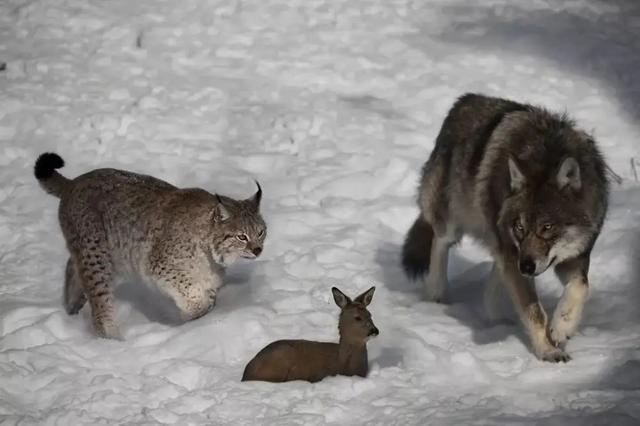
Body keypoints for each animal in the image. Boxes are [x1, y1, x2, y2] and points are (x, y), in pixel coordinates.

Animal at [34, 153, 264, 340]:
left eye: (261, 232)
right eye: (242, 236)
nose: (258, 250)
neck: (210, 251)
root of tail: (75, 182)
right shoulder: (158, 265)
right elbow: (191, 291)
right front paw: (192, 314)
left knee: (71, 265)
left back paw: (72, 306)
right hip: (96, 255)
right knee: (100, 305)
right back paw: (111, 341)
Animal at [402, 94, 608, 362]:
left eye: (547, 227)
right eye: (520, 227)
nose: (527, 266)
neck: (546, 154)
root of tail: (464, 100)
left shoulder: (575, 257)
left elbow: (581, 288)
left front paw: (562, 328)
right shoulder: (515, 254)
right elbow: (535, 312)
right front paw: (547, 350)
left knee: (495, 276)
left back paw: (496, 318)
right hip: (454, 221)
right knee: (440, 242)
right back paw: (437, 296)